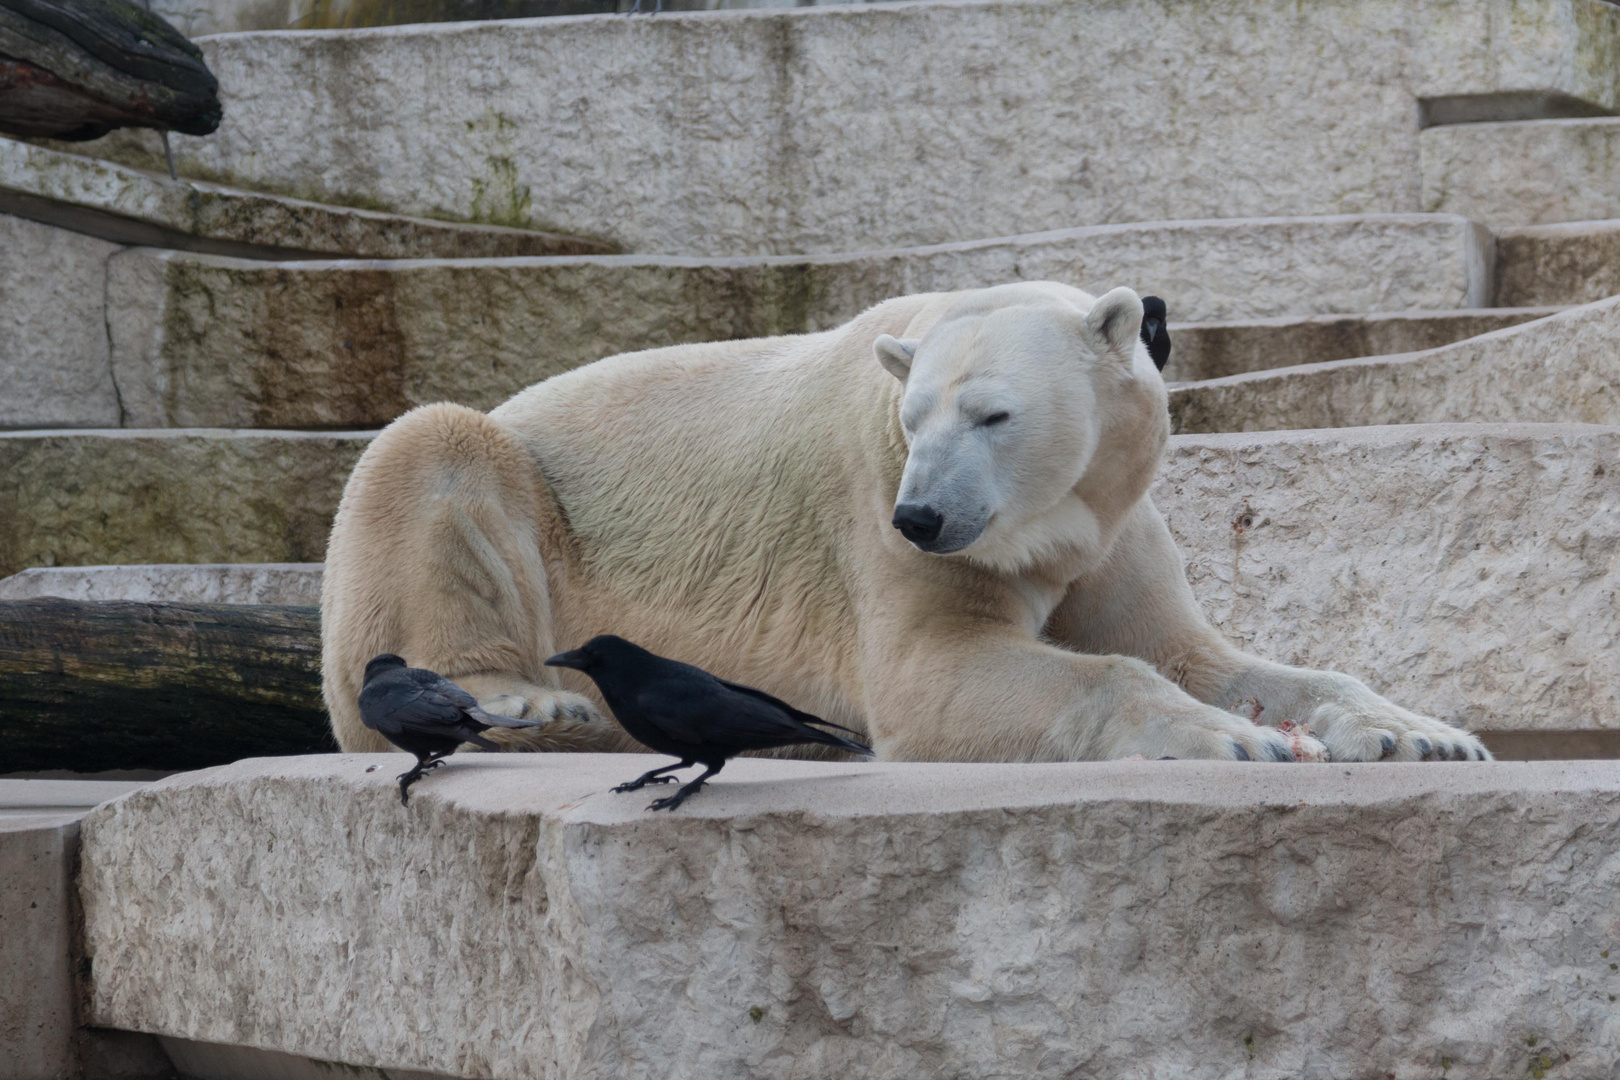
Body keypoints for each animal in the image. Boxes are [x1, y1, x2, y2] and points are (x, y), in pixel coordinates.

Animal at [319, 283, 1490, 764]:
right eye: (913, 416)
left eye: (993, 414)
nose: (922, 516)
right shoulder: (868, 501)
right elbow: (935, 671)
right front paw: (1231, 738)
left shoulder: (1112, 526)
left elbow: (1192, 651)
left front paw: (1418, 729)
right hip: (515, 497)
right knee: (432, 452)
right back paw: (528, 699)